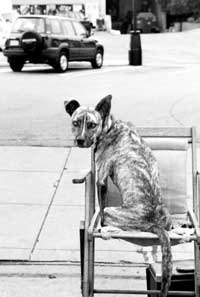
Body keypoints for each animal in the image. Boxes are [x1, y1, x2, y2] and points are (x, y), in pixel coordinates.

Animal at [65, 95, 173, 296]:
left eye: (92, 124)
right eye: (75, 123)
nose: (80, 140)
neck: (109, 126)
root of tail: (154, 223)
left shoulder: (101, 179)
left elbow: (100, 207)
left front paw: (100, 225)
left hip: (111, 211)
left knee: (109, 217)